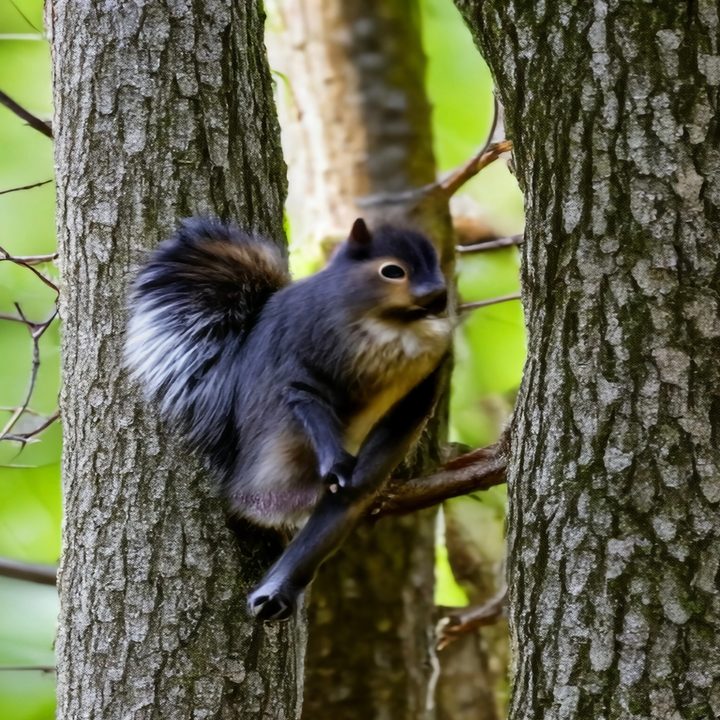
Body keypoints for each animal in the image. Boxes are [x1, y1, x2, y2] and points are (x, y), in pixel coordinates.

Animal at [125, 216, 451, 621]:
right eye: (392, 271)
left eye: (436, 264)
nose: (440, 295)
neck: (396, 326)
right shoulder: (305, 349)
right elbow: (304, 392)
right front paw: (336, 461)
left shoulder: (423, 380)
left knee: (337, 513)